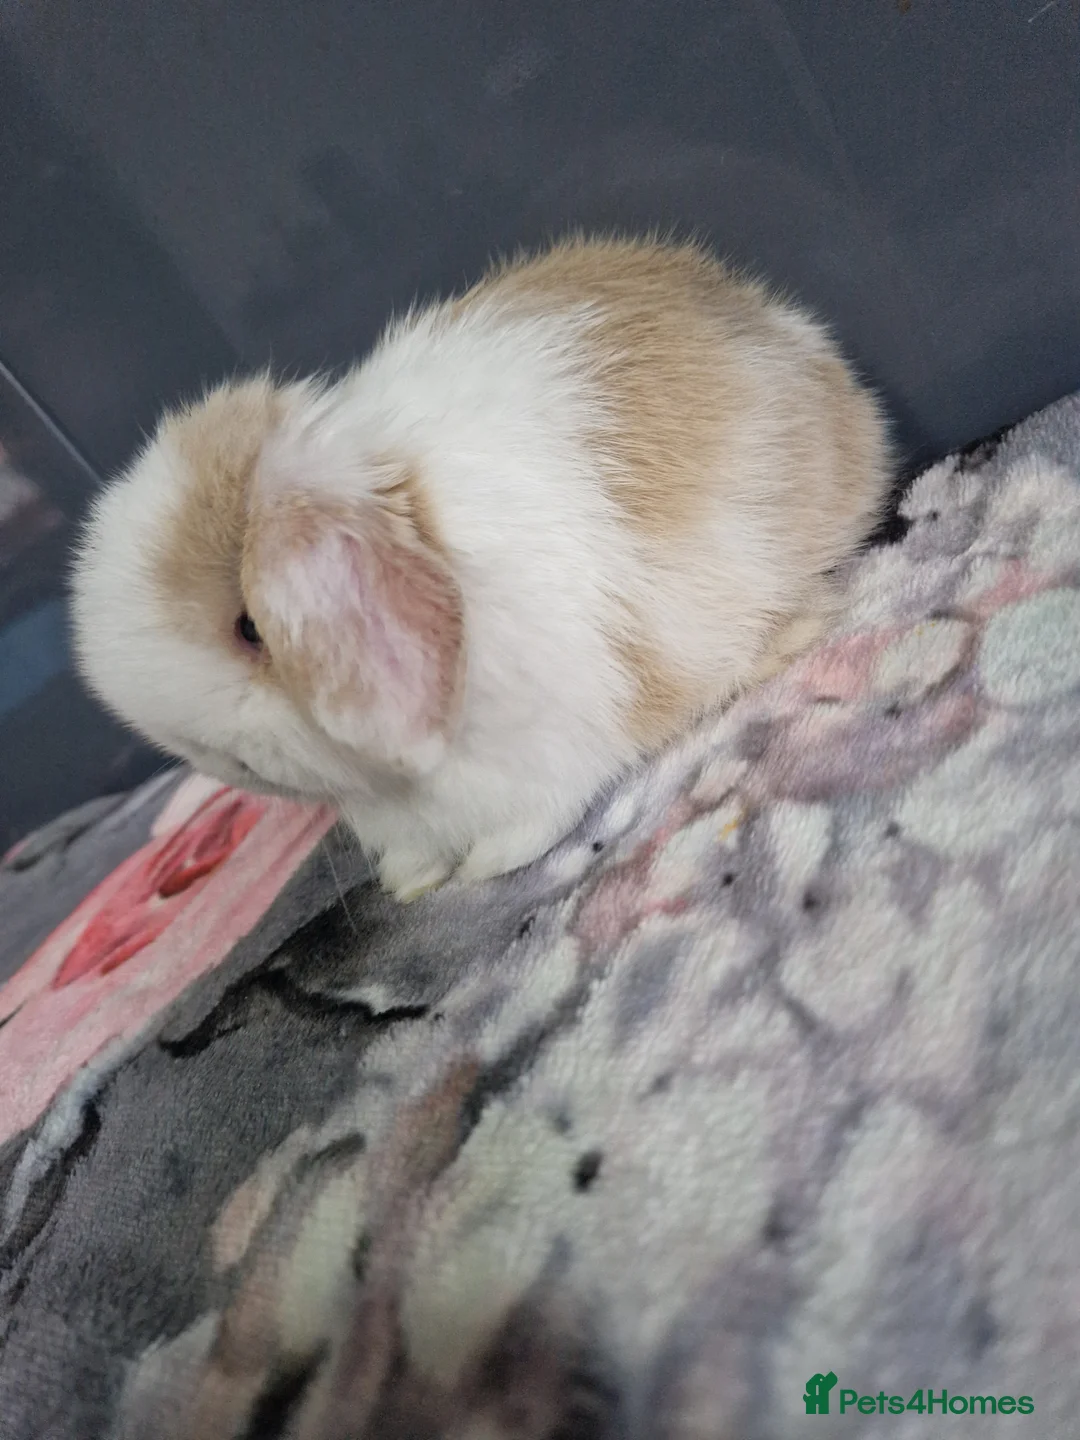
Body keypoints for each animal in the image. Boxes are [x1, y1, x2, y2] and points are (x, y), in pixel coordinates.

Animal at [71, 235, 889, 901]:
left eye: (249, 628)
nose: (199, 755)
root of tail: (787, 326)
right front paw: (411, 882)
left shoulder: (551, 752)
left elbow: (535, 819)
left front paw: (486, 868)